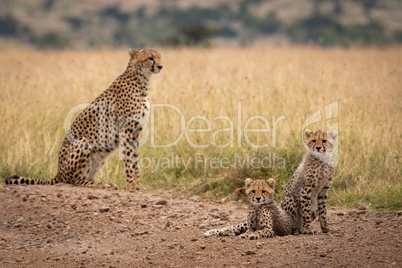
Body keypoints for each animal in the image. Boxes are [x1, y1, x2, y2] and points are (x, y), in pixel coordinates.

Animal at [5, 48, 163, 191]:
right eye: (150, 58)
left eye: (159, 57)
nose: (161, 66)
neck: (141, 79)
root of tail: (58, 172)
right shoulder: (127, 130)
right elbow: (129, 159)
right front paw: (132, 186)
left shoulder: (135, 132)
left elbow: (134, 159)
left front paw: (138, 185)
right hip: (84, 141)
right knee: (75, 180)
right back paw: (103, 184)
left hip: (99, 156)